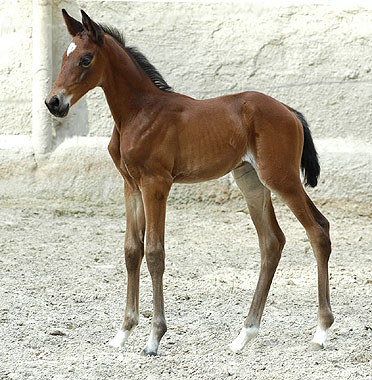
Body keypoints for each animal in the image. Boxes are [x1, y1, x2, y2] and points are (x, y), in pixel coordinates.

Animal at [44, 9, 334, 356]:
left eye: (86, 59)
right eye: (64, 56)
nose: (53, 102)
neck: (139, 113)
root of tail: (289, 111)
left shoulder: (156, 185)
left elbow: (155, 253)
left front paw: (154, 338)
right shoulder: (131, 186)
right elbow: (132, 250)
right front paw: (123, 332)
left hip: (281, 177)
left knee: (317, 230)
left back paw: (321, 331)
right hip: (251, 181)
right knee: (272, 242)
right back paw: (244, 335)